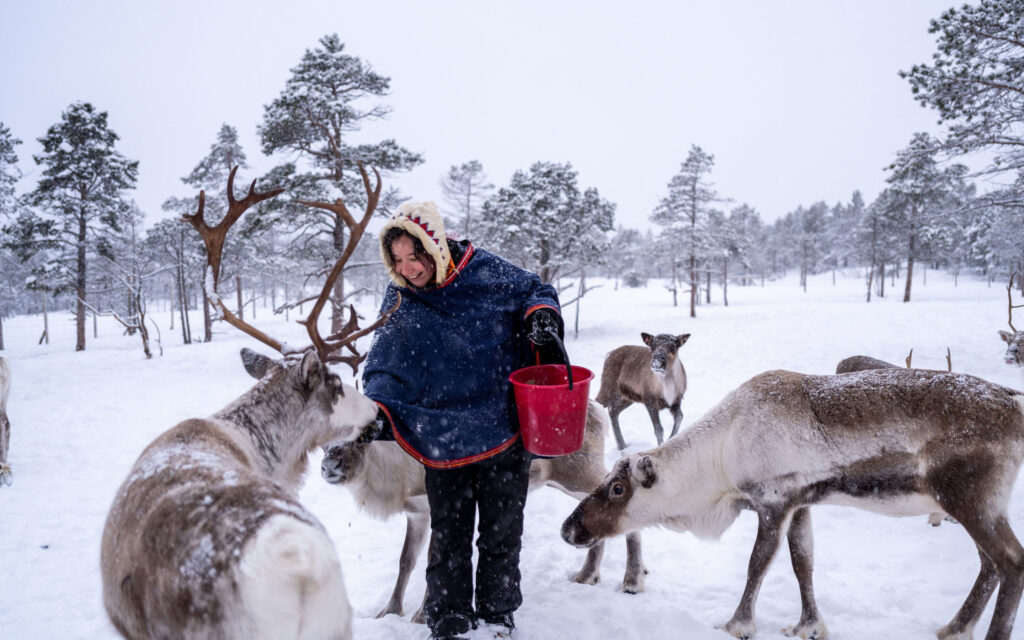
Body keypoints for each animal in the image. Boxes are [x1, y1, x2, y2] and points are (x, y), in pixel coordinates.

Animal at [320, 400, 646, 623]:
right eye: (324, 441)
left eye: (365, 435)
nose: (328, 467)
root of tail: (598, 409)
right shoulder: (417, 513)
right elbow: (406, 562)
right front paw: (389, 611)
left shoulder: (439, 507)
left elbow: (432, 561)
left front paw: (421, 615)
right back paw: (587, 575)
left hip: (576, 472)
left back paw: (632, 580)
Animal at [562, 366, 1024, 640]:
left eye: (617, 489)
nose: (569, 528)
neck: (721, 455)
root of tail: (1015, 406)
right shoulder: (801, 504)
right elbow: (804, 563)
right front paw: (809, 625)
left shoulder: (773, 500)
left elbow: (758, 565)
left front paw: (736, 624)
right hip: (971, 503)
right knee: (989, 564)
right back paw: (954, 628)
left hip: (969, 497)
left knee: (1010, 562)